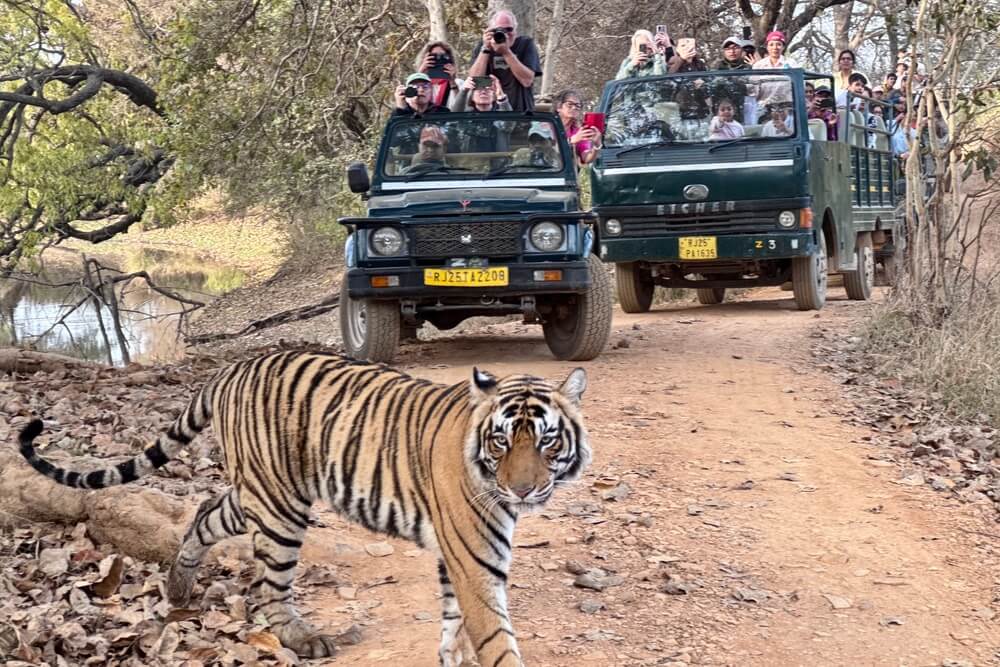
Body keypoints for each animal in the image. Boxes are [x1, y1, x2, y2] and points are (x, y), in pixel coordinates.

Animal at [16, 350, 591, 666]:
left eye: (546, 441)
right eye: (501, 441)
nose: (523, 491)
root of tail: (231, 367)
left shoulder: (458, 558)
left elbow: (455, 627)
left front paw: (452, 657)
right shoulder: (475, 561)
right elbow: (494, 637)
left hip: (260, 491)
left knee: (205, 514)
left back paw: (178, 588)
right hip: (280, 507)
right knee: (270, 586)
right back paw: (302, 638)